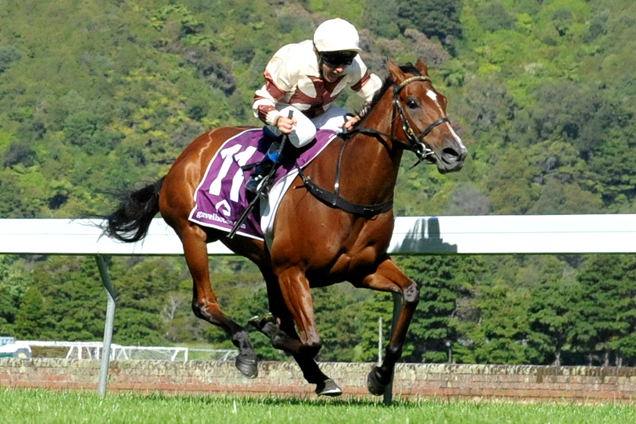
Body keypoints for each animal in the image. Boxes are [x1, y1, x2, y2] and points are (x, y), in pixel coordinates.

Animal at [103, 59, 468, 398]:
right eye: (412, 102)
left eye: (443, 99)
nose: (455, 153)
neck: (346, 187)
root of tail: (186, 155)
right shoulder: (293, 270)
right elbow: (310, 339)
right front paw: (267, 331)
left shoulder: (363, 267)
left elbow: (410, 293)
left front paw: (379, 376)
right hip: (193, 235)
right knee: (204, 303)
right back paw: (248, 350)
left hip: (267, 263)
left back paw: (318, 376)